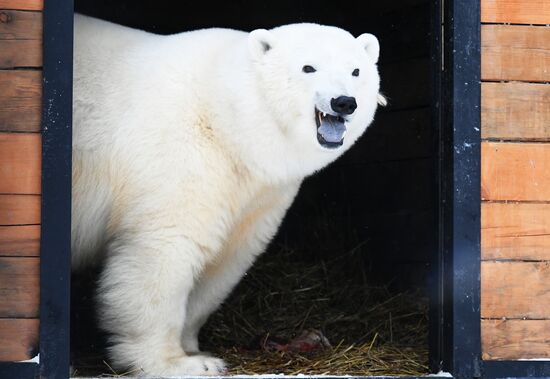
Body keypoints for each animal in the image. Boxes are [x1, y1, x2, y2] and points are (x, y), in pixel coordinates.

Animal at [72, 14, 384, 378]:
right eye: (309, 67)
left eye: (356, 71)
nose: (344, 102)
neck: (225, 116)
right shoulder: (182, 156)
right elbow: (165, 251)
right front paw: (174, 362)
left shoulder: (259, 193)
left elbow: (226, 260)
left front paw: (196, 350)